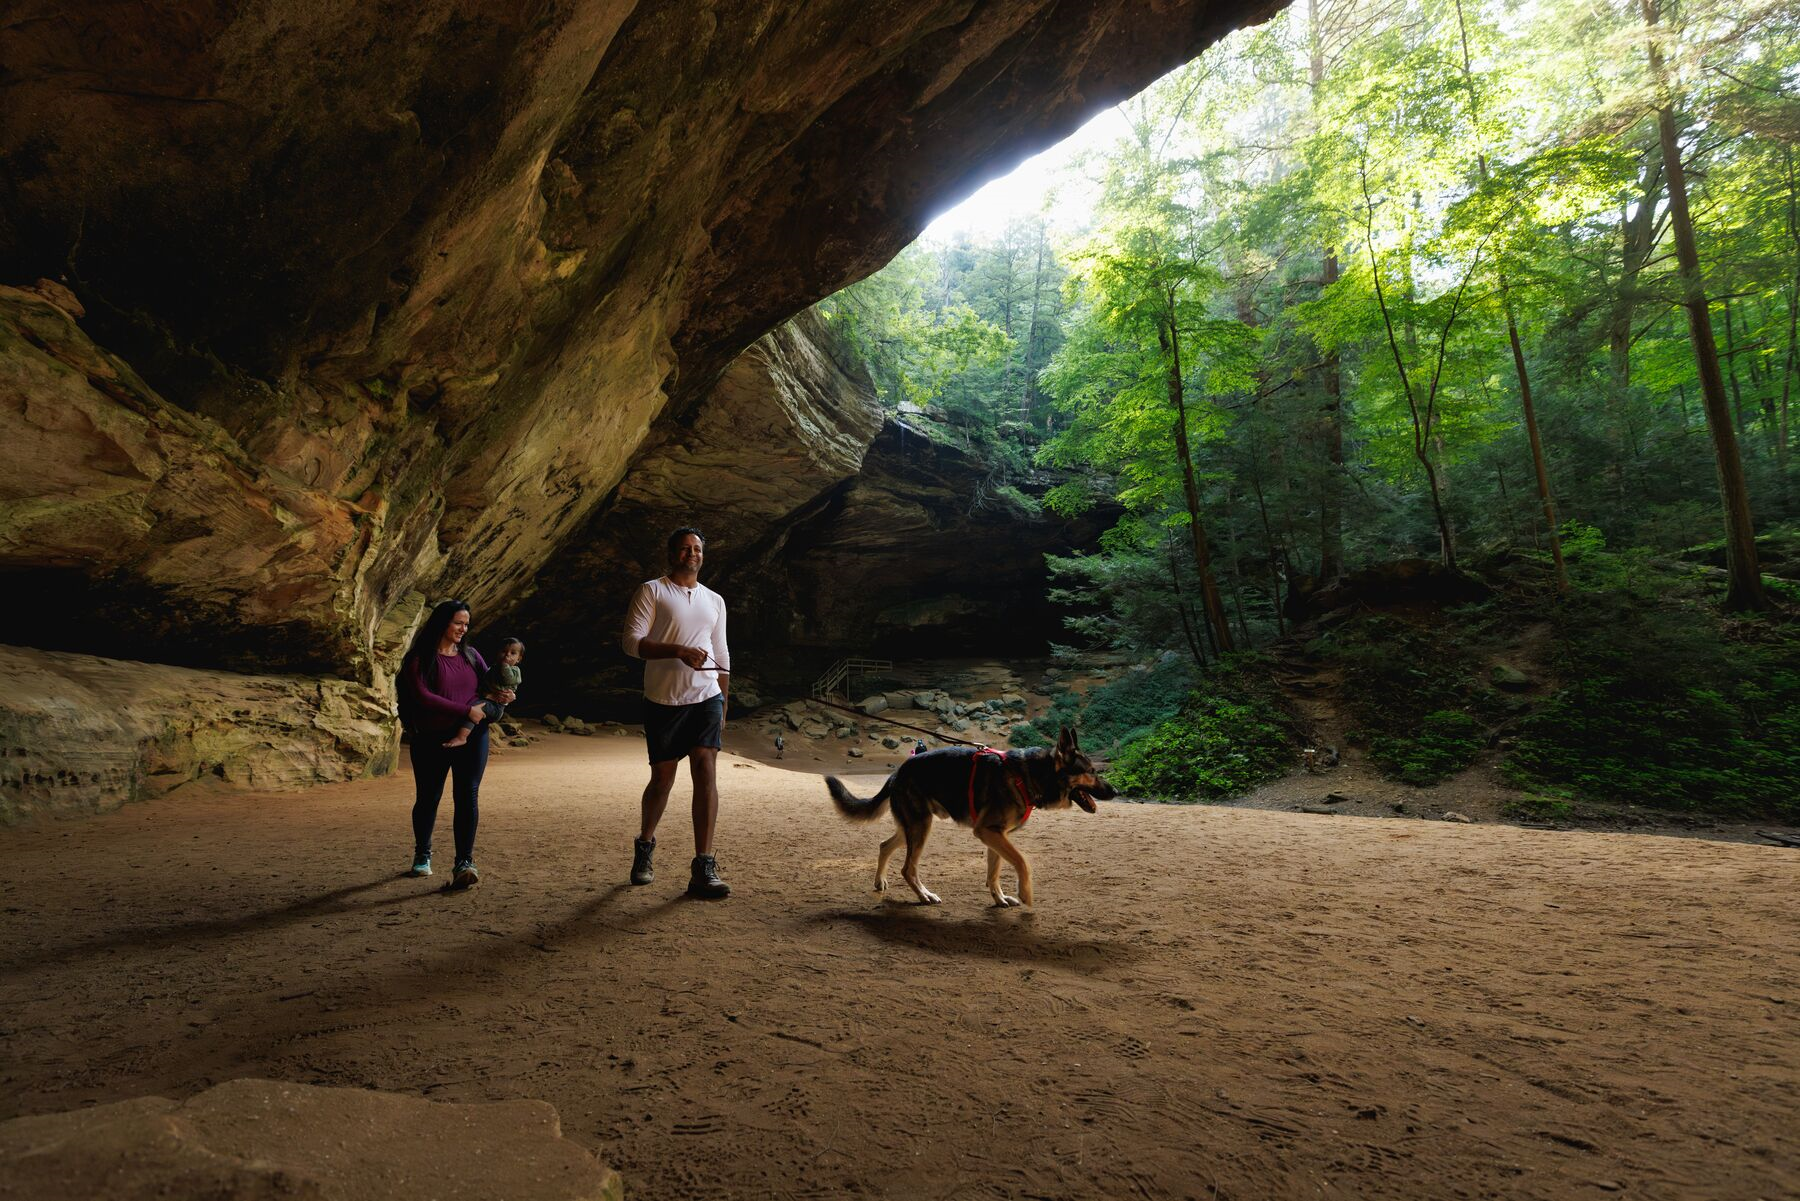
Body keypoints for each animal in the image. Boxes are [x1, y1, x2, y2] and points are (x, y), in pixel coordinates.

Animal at [824, 727, 1108, 907]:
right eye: (1092, 771)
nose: (1114, 791)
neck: (1030, 774)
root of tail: (897, 772)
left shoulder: (996, 835)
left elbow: (994, 871)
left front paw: (999, 899)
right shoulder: (988, 832)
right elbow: (1022, 861)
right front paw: (1025, 893)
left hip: (912, 827)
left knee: (885, 845)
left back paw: (880, 881)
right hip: (920, 828)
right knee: (908, 868)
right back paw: (924, 896)